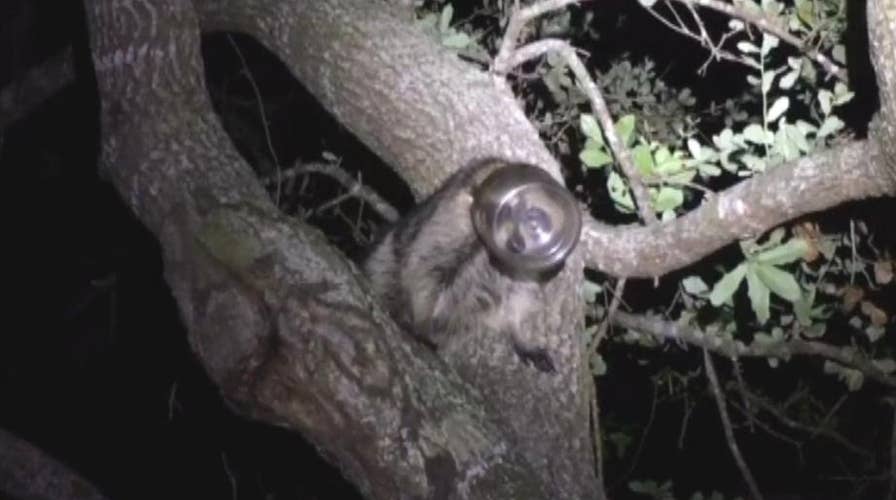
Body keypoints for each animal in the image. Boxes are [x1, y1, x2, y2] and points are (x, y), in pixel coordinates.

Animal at [362, 159, 581, 372]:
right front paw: (422, 320)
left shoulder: (521, 266)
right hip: (386, 260)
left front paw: (518, 333)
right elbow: (425, 270)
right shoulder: (448, 224)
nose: (516, 244)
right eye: (507, 212)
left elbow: (516, 297)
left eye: (534, 220)